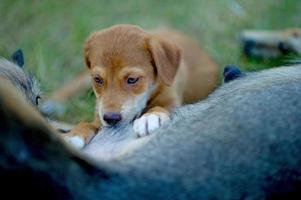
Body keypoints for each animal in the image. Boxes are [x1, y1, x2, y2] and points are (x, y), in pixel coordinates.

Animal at [63, 24, 218, 148]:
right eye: (97, 79)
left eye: (132, 79)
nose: (111, 119)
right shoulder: (99, 116)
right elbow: (87, 123)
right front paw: (72, 135)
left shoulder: (173, 100)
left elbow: (161, 107)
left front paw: (150, 117)